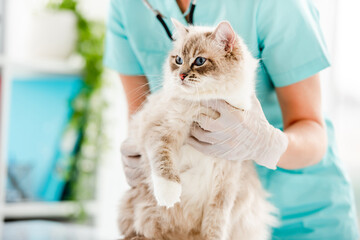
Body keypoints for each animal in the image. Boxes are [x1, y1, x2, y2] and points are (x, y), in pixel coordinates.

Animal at [118, 19, 276, 240]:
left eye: (199, 61)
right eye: (178, 60)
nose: (181, 75)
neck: (205, 104)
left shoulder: (227, 169)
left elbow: (217, 217)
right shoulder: (161, 129)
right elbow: (163, 164)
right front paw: (169, 194)